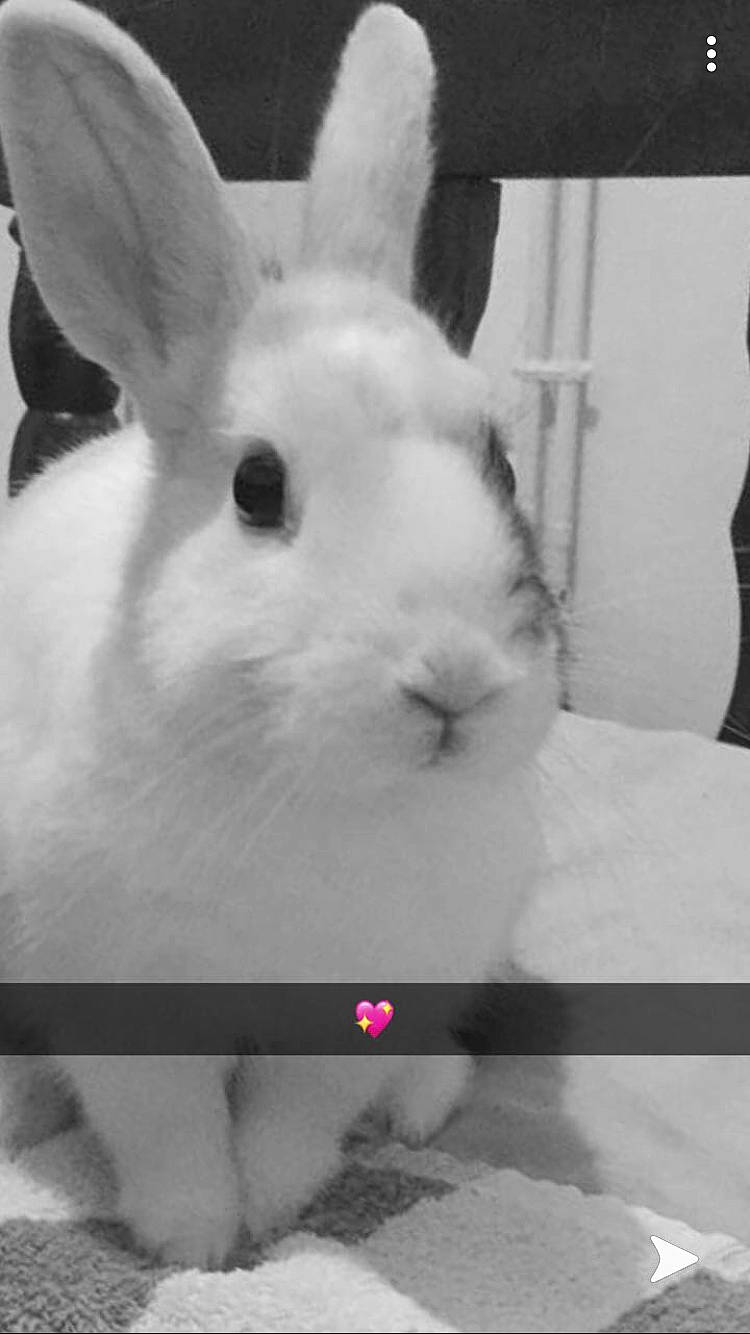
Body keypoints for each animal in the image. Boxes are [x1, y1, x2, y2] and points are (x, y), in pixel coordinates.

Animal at [0, 0, 561, 1268]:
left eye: (502, 465)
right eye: (257, 486)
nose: (453, 680)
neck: (313, 795)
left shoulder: (363, 1002)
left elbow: (289, 1120)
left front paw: (265, 1211)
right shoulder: (113, 987)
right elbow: (168, 1126)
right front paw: (195, 1240)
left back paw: (421, 1100)